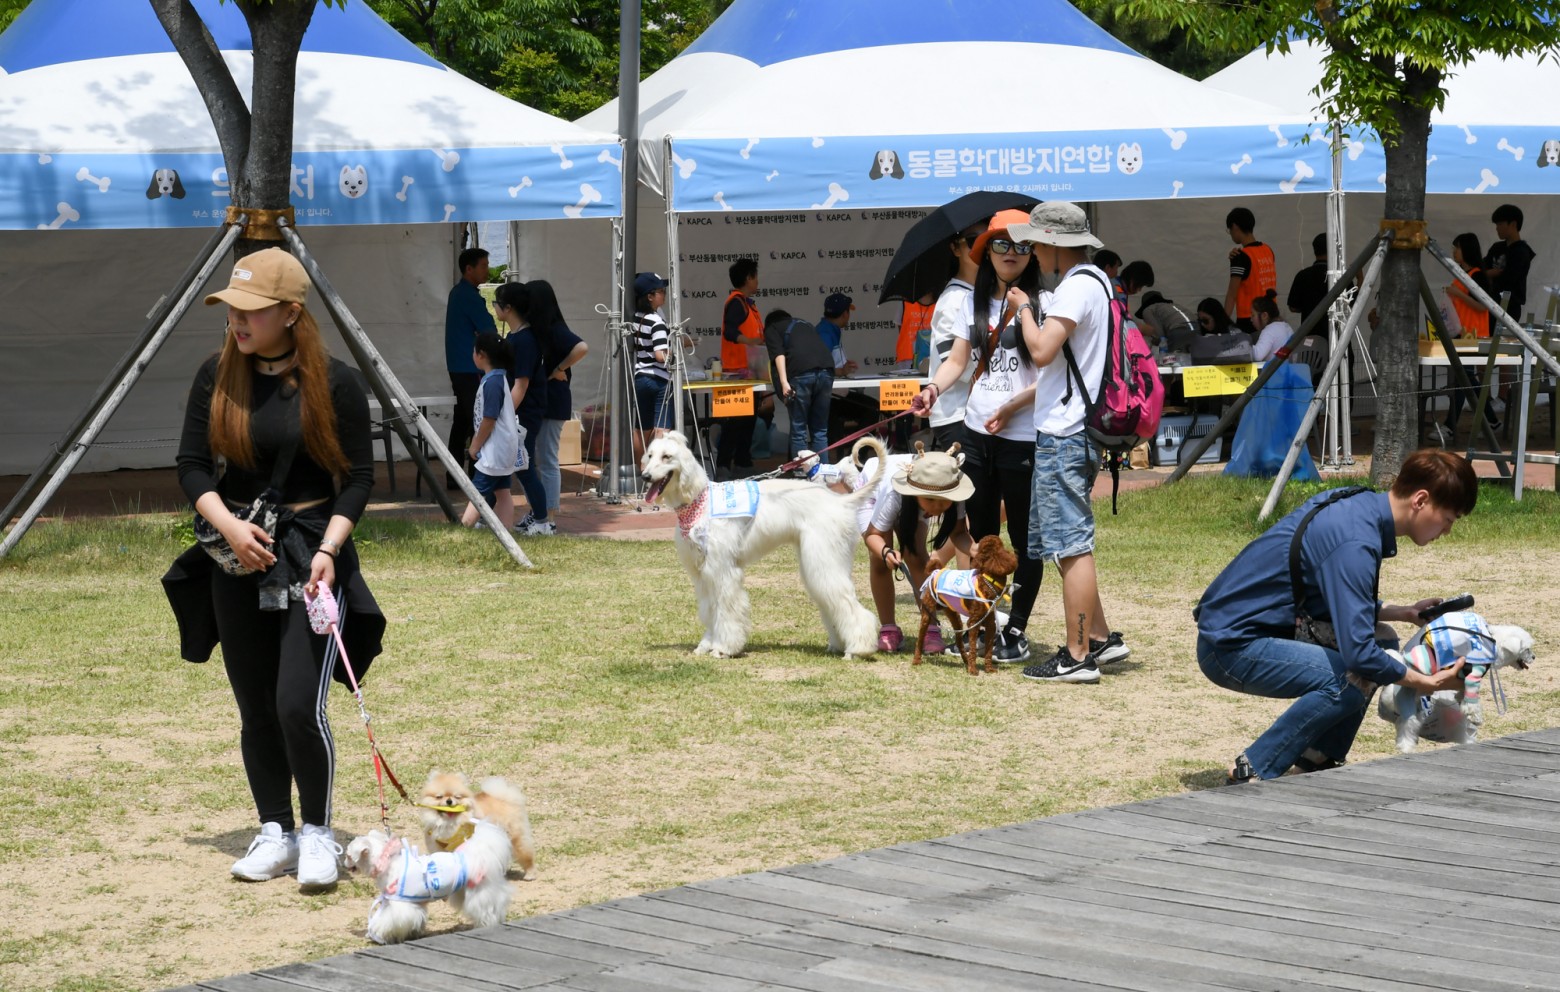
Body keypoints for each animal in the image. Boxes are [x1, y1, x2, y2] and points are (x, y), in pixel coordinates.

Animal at [344, 822, 512, 944]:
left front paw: (378, 933)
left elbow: (388, 920)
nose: (344, 864)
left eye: (348, 856)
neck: (387, 863)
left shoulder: (402, 905)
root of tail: (480, 854)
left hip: (479, 892)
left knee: (489, 909)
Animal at [640, 431, 886, 659]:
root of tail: (841, 500)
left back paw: (857, 648)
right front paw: (706, 644)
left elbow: (726, 610)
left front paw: (723, 648)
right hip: (822, 560)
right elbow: (710, 609)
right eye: (650, 455)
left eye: (667, 456)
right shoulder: (702, 573)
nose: (644, 476)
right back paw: (839, 644)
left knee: (847, 602)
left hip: (824, 557)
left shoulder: (722, 570)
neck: (699, 502)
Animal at [912, 535, 1016, 676]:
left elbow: (989, 649)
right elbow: (973, 647)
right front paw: (973, 669)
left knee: (959, 640)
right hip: (927, 613)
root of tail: (937, 571)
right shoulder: (974, 622)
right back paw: (916, 660)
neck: (987, 583)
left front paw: (989, 668)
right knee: (920, 637)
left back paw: (965, 660)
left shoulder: (990, 624)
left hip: (954, 617)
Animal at [1376, 611, 1535, 752]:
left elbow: (1464, 694)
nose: (1534, 657)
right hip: (1408, 706)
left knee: (1403, 723)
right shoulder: (1474, 675)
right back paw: (1406, 748)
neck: (1493, 642)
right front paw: (1475, 717)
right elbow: (1472, 701)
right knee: (1408, 726)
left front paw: (1460, 698)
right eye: (1527, 649)